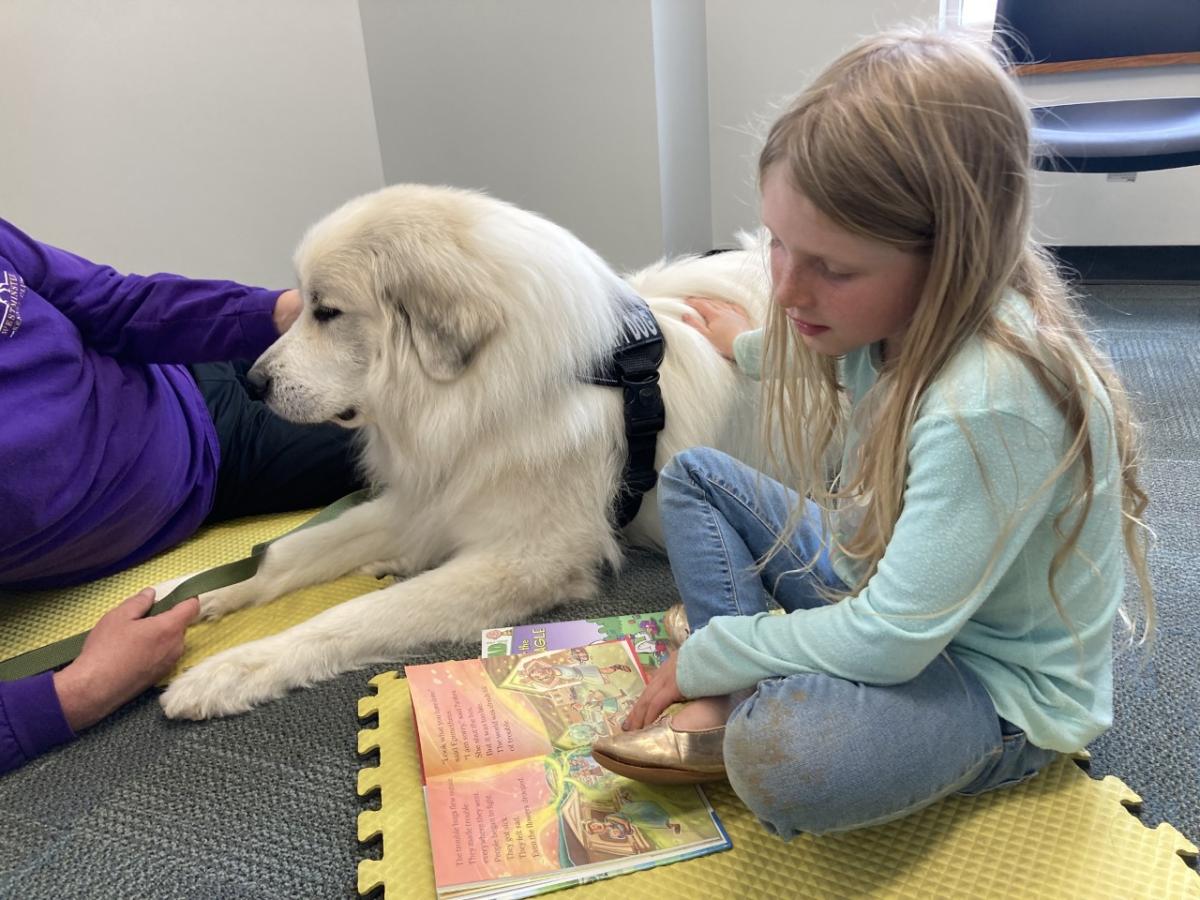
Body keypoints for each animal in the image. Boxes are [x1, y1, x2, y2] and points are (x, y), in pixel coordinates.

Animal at [162, 187, 768, 724]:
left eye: (327, 312)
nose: (254, 383)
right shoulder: (431, 493)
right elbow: (288, 553)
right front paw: (213, 598)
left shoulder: (527, 560)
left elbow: (358, 614)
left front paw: (231, 670)